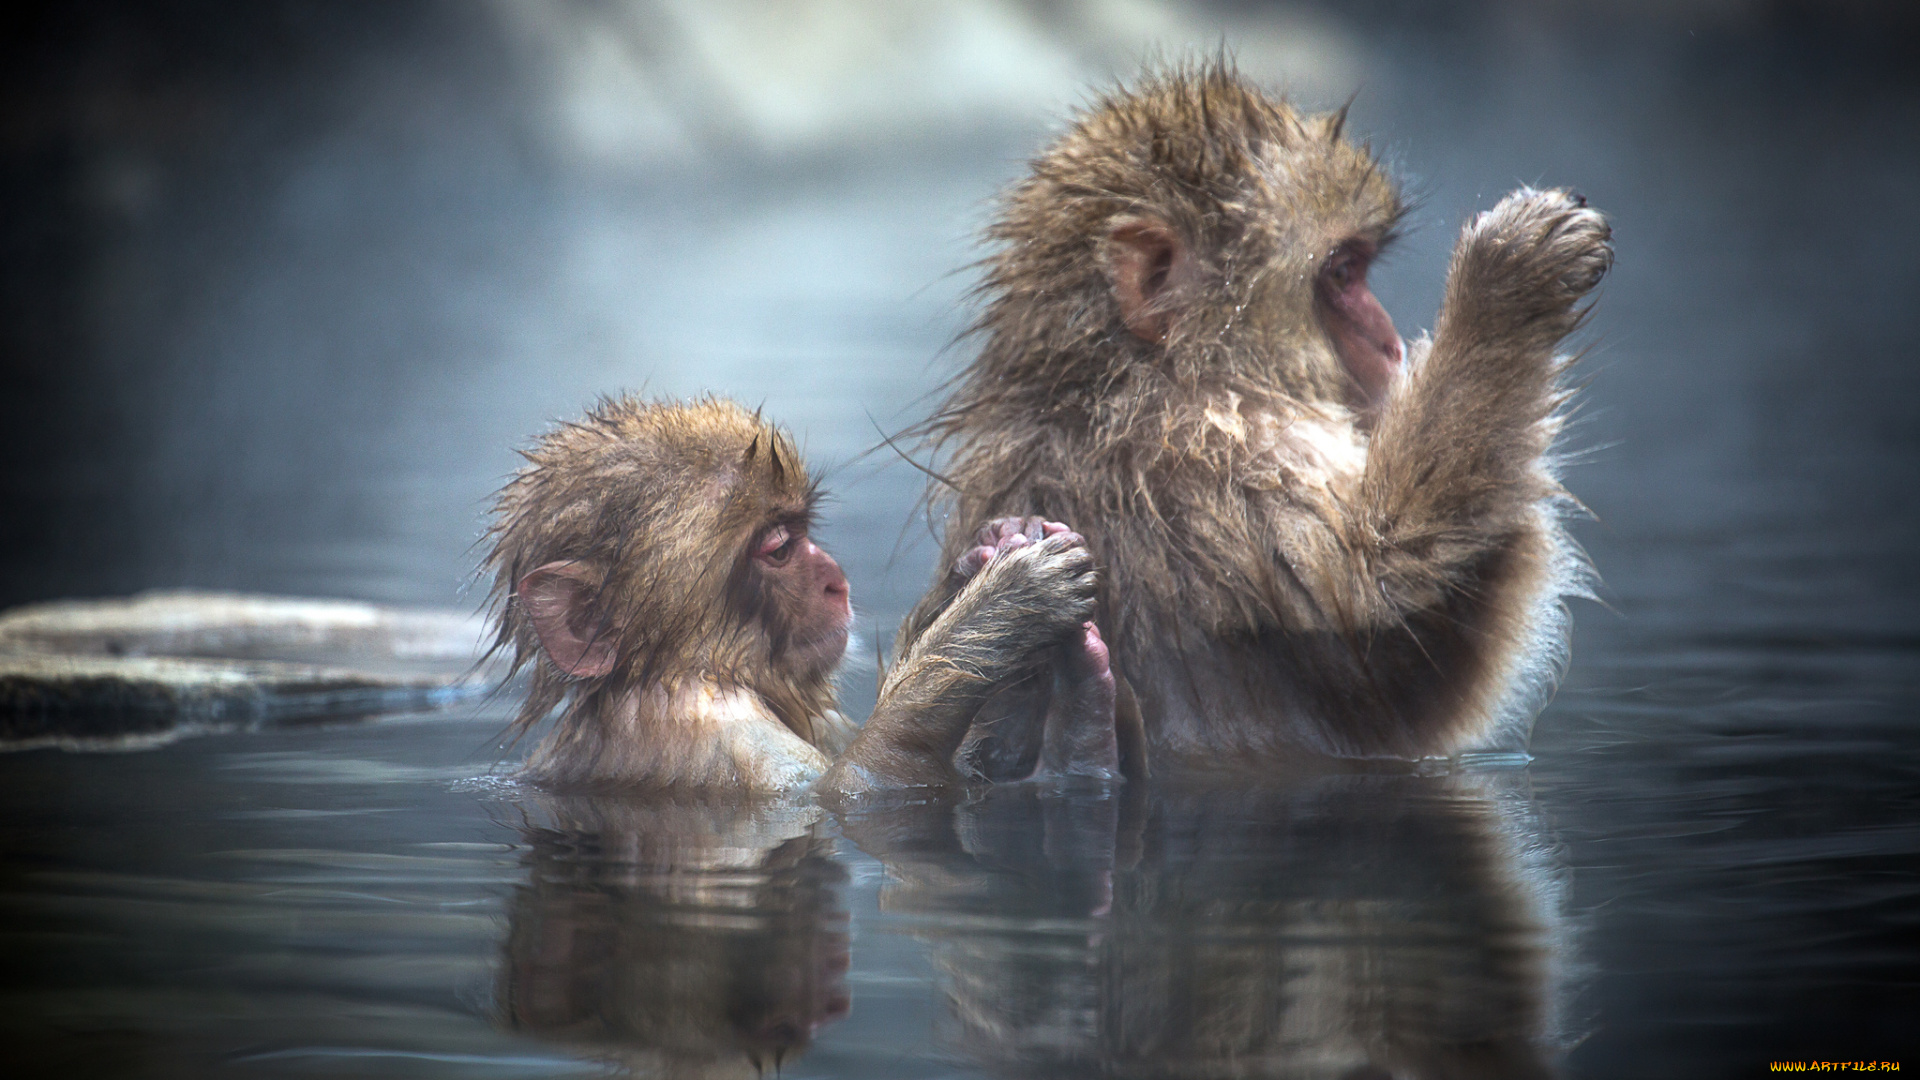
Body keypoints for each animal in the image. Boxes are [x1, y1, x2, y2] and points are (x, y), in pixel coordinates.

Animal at [484, 395, 1113, 796]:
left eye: (802, 530)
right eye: (781, 548)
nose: (836, 579)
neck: (676, 671)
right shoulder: (717, 731)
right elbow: (854, 791)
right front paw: (1009, 603)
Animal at [899, 60, 1613, 769]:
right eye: (1343, 272)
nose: (1389, 346)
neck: (1113, 385)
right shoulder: (1220, 461)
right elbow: (1390, 587)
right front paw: (1505, 288)